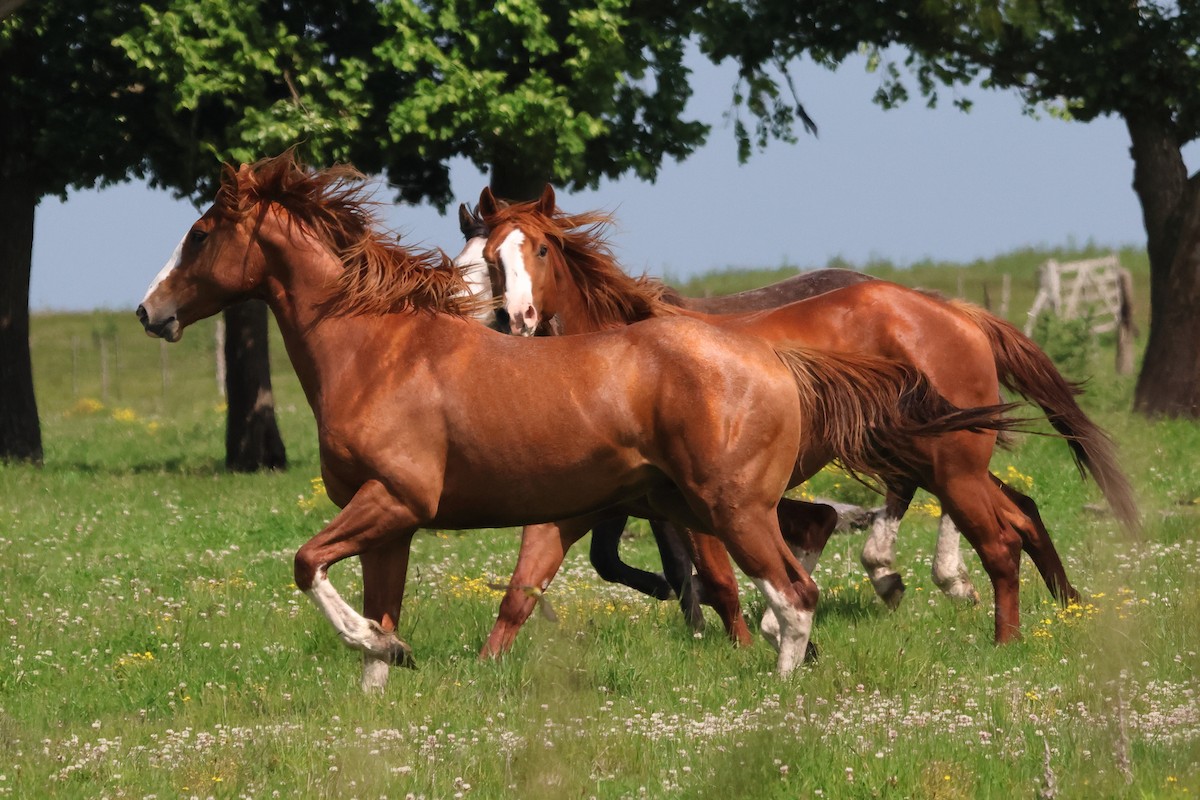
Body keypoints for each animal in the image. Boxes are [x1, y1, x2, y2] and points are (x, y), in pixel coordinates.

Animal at [136, 153, 1016, 690]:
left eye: (201, 233)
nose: (150, 312)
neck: (379, 350)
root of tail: (774, 361)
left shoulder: (395, 501)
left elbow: (306, 564)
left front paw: (378, 646)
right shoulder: (391, 523)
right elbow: (389, 610)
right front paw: (386, 667)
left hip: (730, 506)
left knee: (798, 593)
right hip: (700, 504)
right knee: (811, 558)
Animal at [475, 184, 1139, 654]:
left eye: (541, 249)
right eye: (489, 259)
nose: (517, 319)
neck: (629, 355)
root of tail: (957, 313)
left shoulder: (698, 503)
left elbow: (714, 577)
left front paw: (747, 642)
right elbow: (611, 566)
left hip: (950, 461)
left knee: (997, 537)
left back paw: (997, 631)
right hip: (938, 457)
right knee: (1018, 514)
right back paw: (1058, 604)